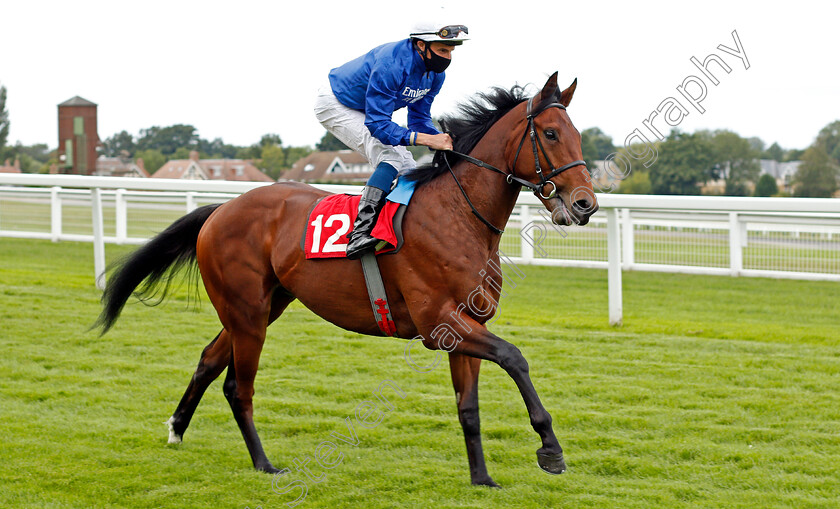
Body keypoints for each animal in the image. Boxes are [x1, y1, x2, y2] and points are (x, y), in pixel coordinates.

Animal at [97, 70, 596, 484]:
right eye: (550, 133)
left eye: (577, 135)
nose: (585, 204)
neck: (459, 214)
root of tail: (221, 208)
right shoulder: (439, 322)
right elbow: (515, 358)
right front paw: (550, 450)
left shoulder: (467, 325)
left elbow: (468, 407)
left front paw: (482, 478)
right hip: (248, 313)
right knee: (239, 386)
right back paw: (264, 464)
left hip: (260, 307)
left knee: (208, 359)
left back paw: (177, 428)